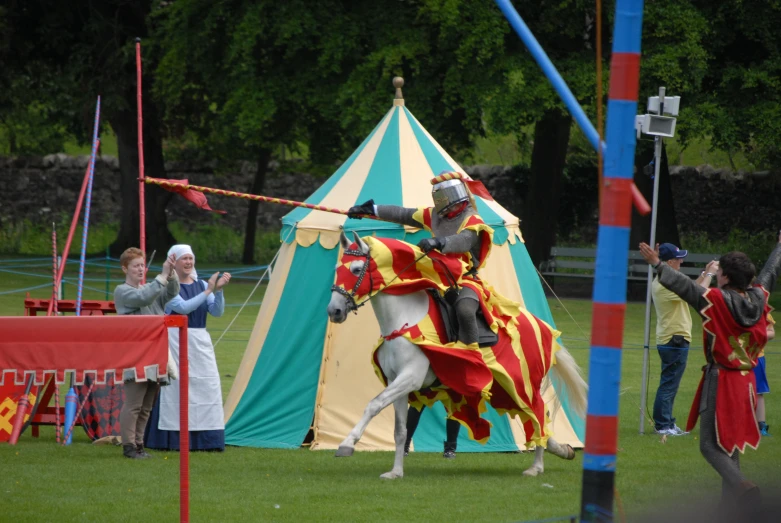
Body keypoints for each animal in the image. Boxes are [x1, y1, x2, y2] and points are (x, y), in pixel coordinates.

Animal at [324, 234, 584, 484]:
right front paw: (395, 472)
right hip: (502, 388)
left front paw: (347, 443)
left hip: (523, 384)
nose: (334, 311)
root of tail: (543, 327)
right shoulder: (396, 382)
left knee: (538, 413)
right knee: (538, 416)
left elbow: (373, 404)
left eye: (357, 269)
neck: (404, 321)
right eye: (337, 268)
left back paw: (536, 466)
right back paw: (561, 449)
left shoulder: (410, 378)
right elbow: (400, 430)